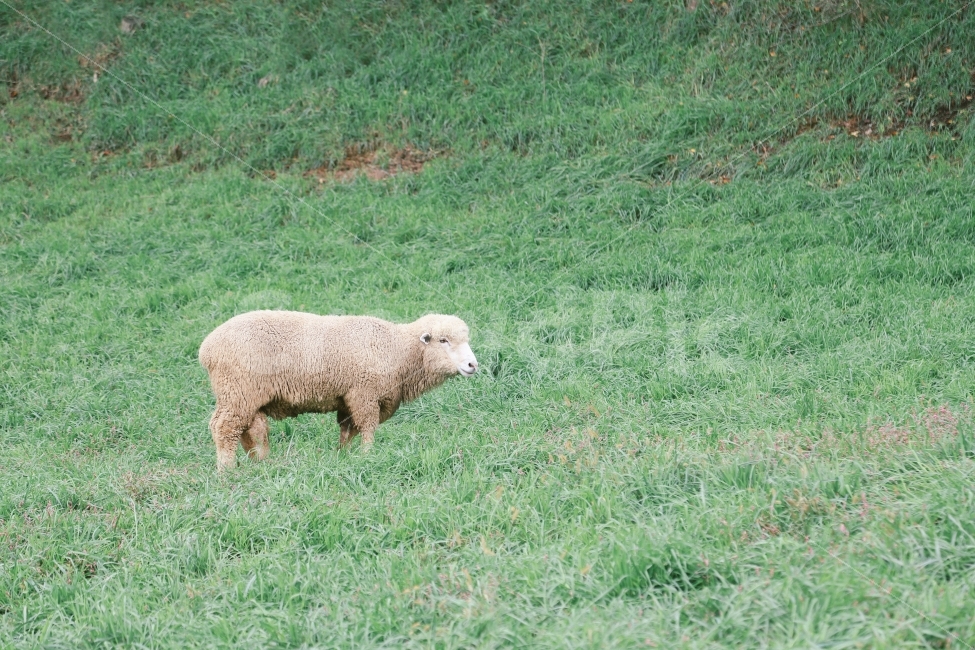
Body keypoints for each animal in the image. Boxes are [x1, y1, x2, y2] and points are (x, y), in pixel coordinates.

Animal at [199, 310, 479, 470]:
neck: (399, 349)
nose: (472, 365)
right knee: (224, 428)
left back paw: (259, 461)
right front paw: (368, 456)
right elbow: (367, 429)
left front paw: (342, 456)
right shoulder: (364, 394)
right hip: (237, 391)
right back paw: (227, 470)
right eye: (443, 340)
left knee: (249, 429)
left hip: (244, 396)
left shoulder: (347, 399)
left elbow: (347, 430)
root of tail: (207, 348)